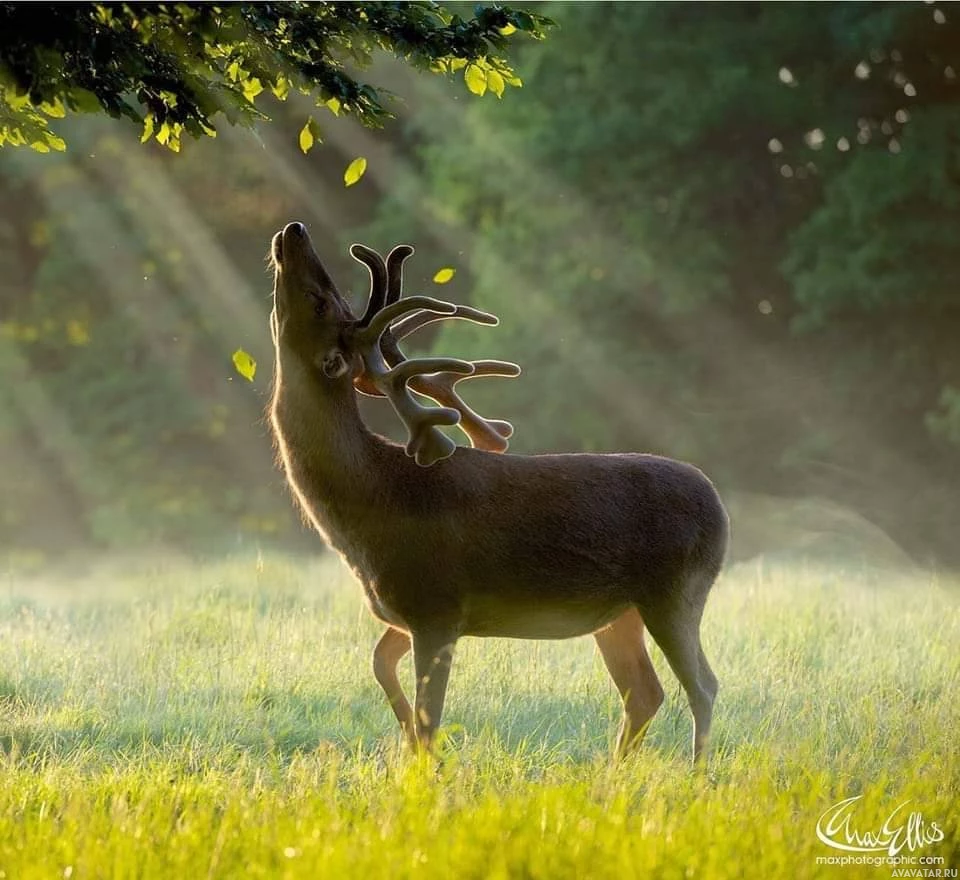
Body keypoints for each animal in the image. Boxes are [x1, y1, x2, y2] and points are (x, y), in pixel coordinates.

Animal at [266, 222, 724, 764]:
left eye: (322, 301)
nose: (294, 230)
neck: (371, 505)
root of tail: (719, 506)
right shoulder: (406, 611)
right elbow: (380, 665)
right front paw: (407, 744)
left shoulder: (436, 604)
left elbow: (430, 716)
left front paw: (426, 765)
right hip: (619, 613)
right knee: (644, 691)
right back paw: (616, 773)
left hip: (676, 591)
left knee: (702, 686)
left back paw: (696, 773)